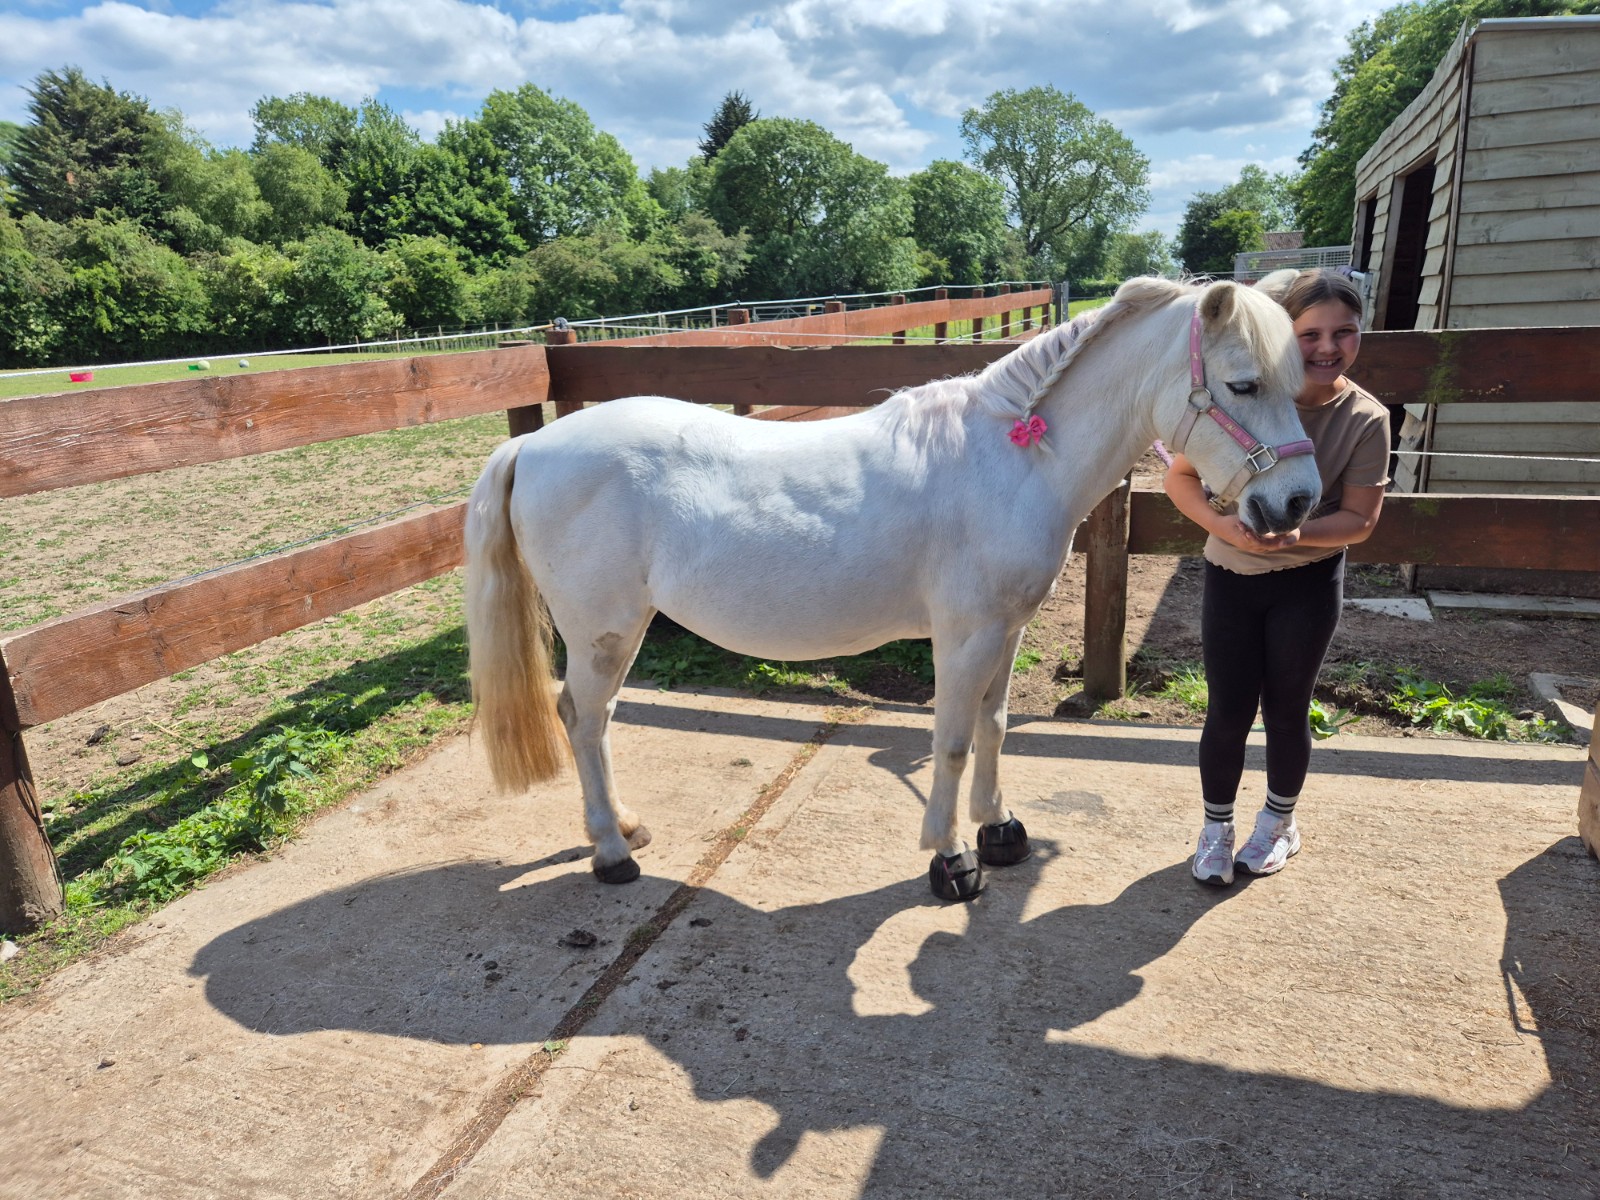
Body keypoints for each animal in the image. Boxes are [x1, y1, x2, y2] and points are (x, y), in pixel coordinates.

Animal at [464, 276, 1320, 901]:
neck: (1013, 461)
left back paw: (625, 829)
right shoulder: (966, 635)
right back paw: (612, 853)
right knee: (584, 719)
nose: (1298, 502)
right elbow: (951, 740)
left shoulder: (1006, 630)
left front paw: (999, 831)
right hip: (603, 632)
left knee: (592, 719)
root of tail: (534, 445)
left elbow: (995, 727)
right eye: (1244, 384)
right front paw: (951, 860)